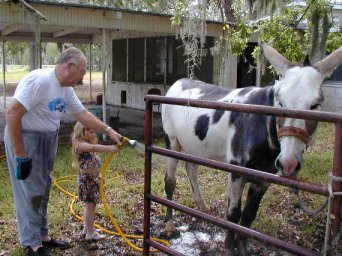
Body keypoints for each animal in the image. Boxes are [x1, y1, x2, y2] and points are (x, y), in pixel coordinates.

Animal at [160, 43, 342, 255]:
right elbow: (233, 215)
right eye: (280, 102)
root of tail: (180, 81)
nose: (288, 163)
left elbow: (248, 216)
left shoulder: (264, 178)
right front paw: (230, 248)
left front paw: (243, 248)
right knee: (170, 181)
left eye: (315, 105)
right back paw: (169, 226)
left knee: (191, 168)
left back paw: (202, 206)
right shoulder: (237, 172)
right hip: (172, 142)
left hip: (194, 146)